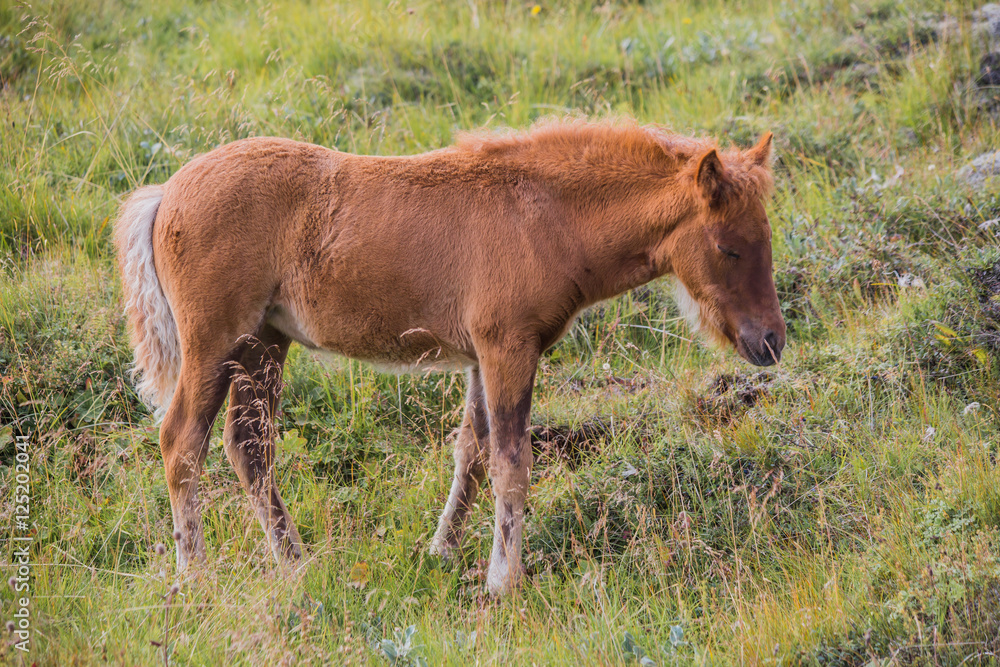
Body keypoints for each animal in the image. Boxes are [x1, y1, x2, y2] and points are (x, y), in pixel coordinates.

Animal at [114, 119, 785, 595]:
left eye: (767, 238)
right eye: (729, 247)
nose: (771, 341)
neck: (543, 217)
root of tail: (166, 193)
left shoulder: (479, 358)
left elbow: (473, 454)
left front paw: (441, 552)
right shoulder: (508, 349)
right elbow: (512, 463)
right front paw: (502, 584)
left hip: (262, 345)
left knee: (248, 447)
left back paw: (296, 564)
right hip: (214, 343)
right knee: (182, 440)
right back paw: (197, 576)